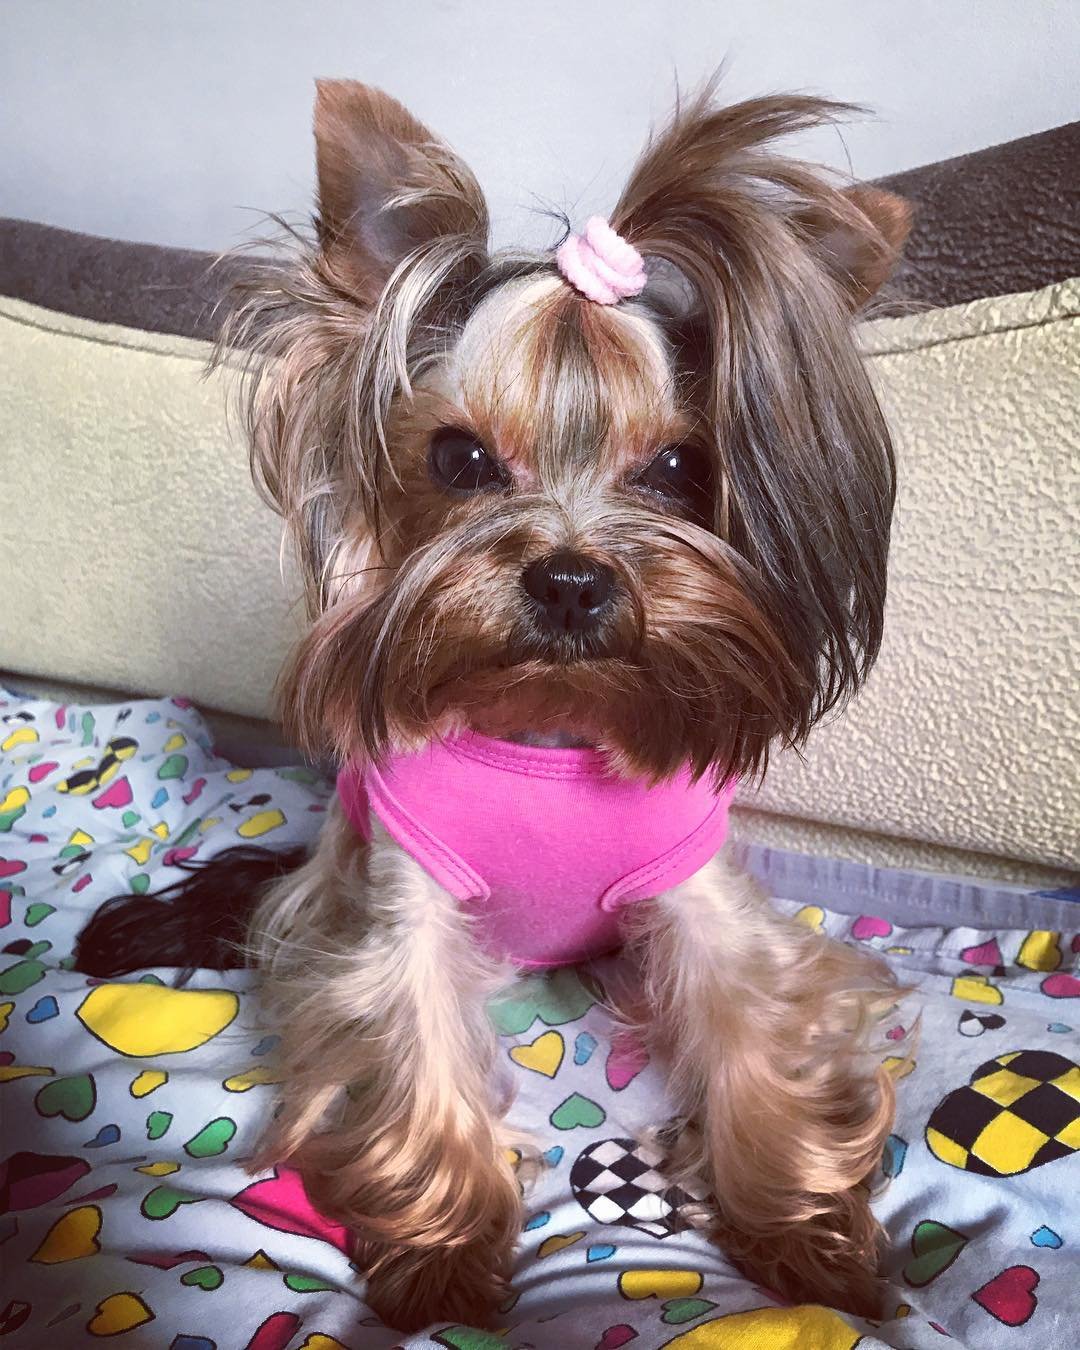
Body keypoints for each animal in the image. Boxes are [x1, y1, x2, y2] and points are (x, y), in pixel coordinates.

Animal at [73, 81, 912, 1328]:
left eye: (676, 470)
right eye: (460, 458)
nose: (569, 579)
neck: (549, 723)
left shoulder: (703, 901)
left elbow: (755, 1029)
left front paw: (805, 1237)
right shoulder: (403, 902)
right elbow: (412, 1032)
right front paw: (445, 1259)